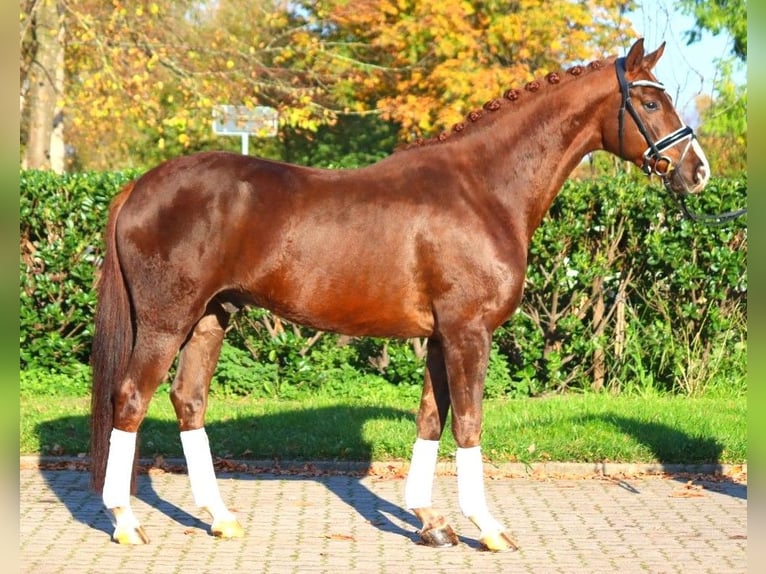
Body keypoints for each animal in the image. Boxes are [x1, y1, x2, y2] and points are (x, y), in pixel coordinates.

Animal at [91, 38, 712, 552]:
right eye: (650, 103)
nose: (698, 171)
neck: (483, 189)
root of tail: (139, 186)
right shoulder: (468, 332)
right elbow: (468, 424)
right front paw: (487, 528)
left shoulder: (440, 337)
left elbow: (431, 420)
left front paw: (431, 522)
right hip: (167, 321)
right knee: (131, 400)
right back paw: (125, 521)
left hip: (210, 318)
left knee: (188, 401)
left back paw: (220, 518)